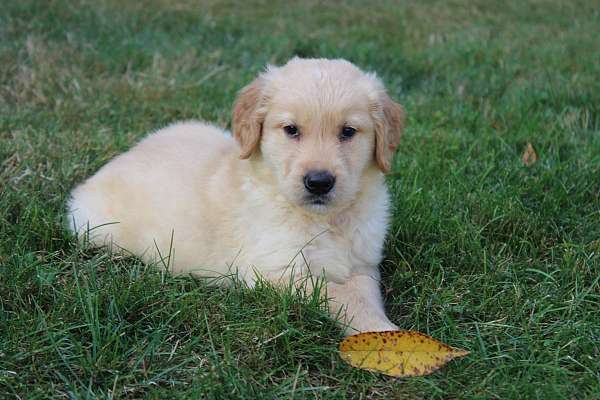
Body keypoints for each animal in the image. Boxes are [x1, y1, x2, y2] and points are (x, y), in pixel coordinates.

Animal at [68, 56, 406, 334]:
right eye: (291, 130)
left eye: (348, 132)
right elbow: (337, 294)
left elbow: (361, 293)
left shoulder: (363, 264)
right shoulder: (273, 272)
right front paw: (384, 334)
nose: (319, 182)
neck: (326, 220)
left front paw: (382, 329)